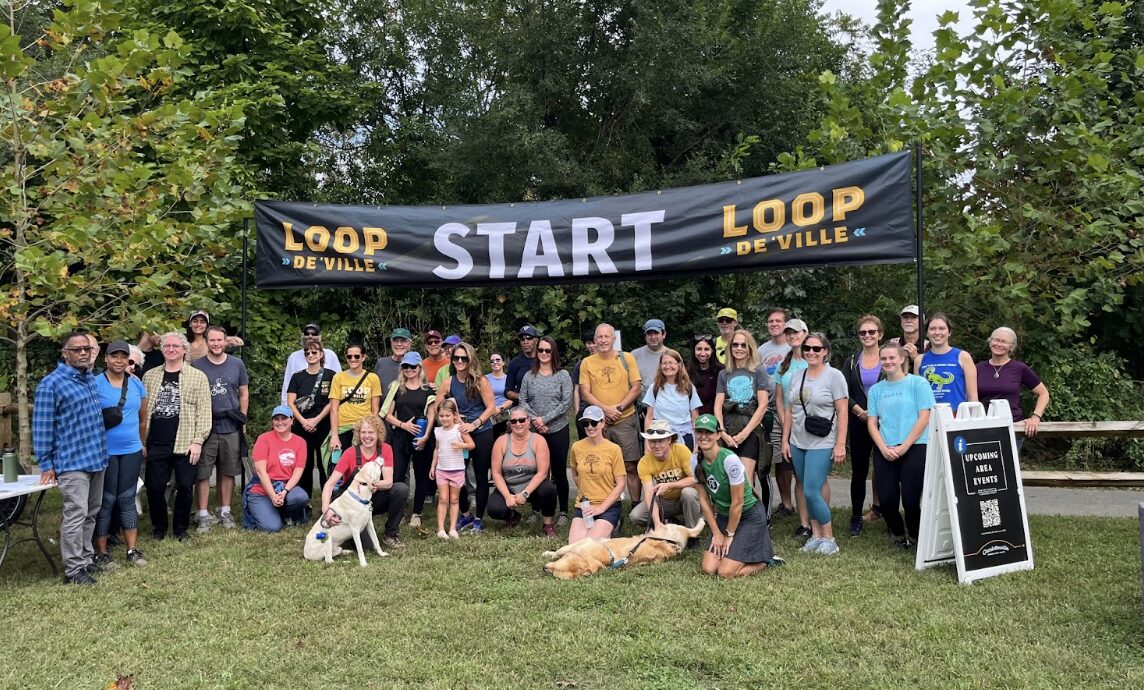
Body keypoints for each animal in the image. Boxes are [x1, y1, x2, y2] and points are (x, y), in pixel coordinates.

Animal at [539, 517, 700, 576]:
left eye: (557, 572)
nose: (544, 568)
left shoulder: (584, 541)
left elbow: (560, 550)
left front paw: (548, 553)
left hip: (672, 527)